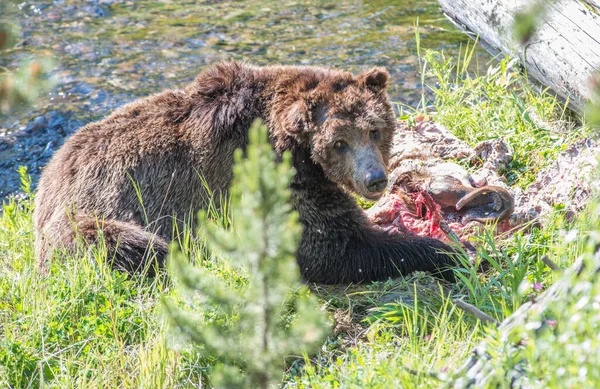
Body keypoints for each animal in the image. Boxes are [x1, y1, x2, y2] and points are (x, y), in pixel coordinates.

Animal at [32, 62, 458, 284]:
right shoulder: (261, 176)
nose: (375, 179)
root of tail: (47, 178)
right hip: (81, 220)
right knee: (134, 245)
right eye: (339, 142)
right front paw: (447, 252)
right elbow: (331, 246)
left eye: (374, 130)